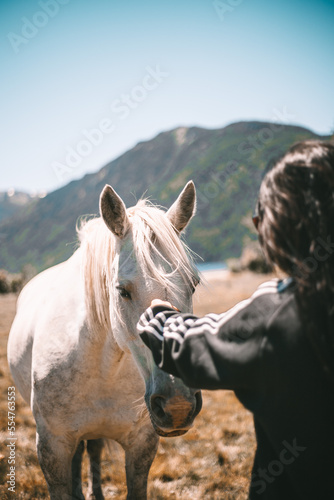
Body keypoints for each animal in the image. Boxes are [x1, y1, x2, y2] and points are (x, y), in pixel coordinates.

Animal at [7, 182, 201, 498]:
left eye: (193, 285)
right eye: (122, 291)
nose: (178, 405)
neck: (103, 367)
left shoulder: (141, 445)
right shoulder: (52, 447)